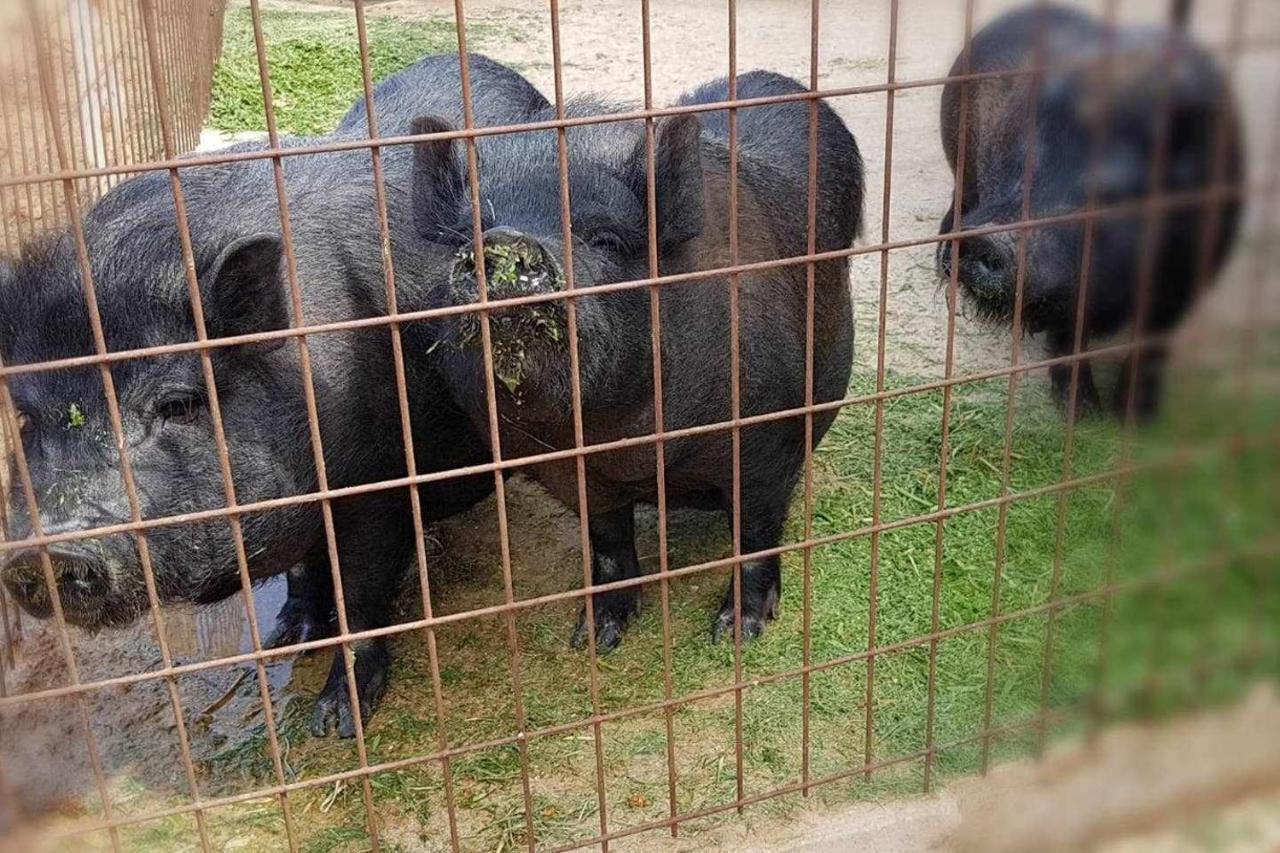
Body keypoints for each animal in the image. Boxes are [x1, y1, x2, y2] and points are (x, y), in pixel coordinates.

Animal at [0, 53, 545, 732]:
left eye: (177, 403)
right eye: (25, 420)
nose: (42, 553)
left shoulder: (377, 480)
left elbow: (363, 593)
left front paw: (336, 722)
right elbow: (304, 569)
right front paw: (288, 639)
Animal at [414, 73, 865, 648]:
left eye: (606, 238)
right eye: (464, 237)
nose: (504, 241)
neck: (624, 447)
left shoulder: (765, 439)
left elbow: (756, 533)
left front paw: (735, 633)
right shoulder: (566, 472)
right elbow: (607, 542)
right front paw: (594, 638)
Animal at [936, 5, 1244, 417]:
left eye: (1112, 190)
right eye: (1022, 166)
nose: (986, 239)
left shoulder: (1192, 274)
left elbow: (1152, 338)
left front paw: (1134, 417)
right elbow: (1071, 334)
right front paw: (1081, 413)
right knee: (960, 194)